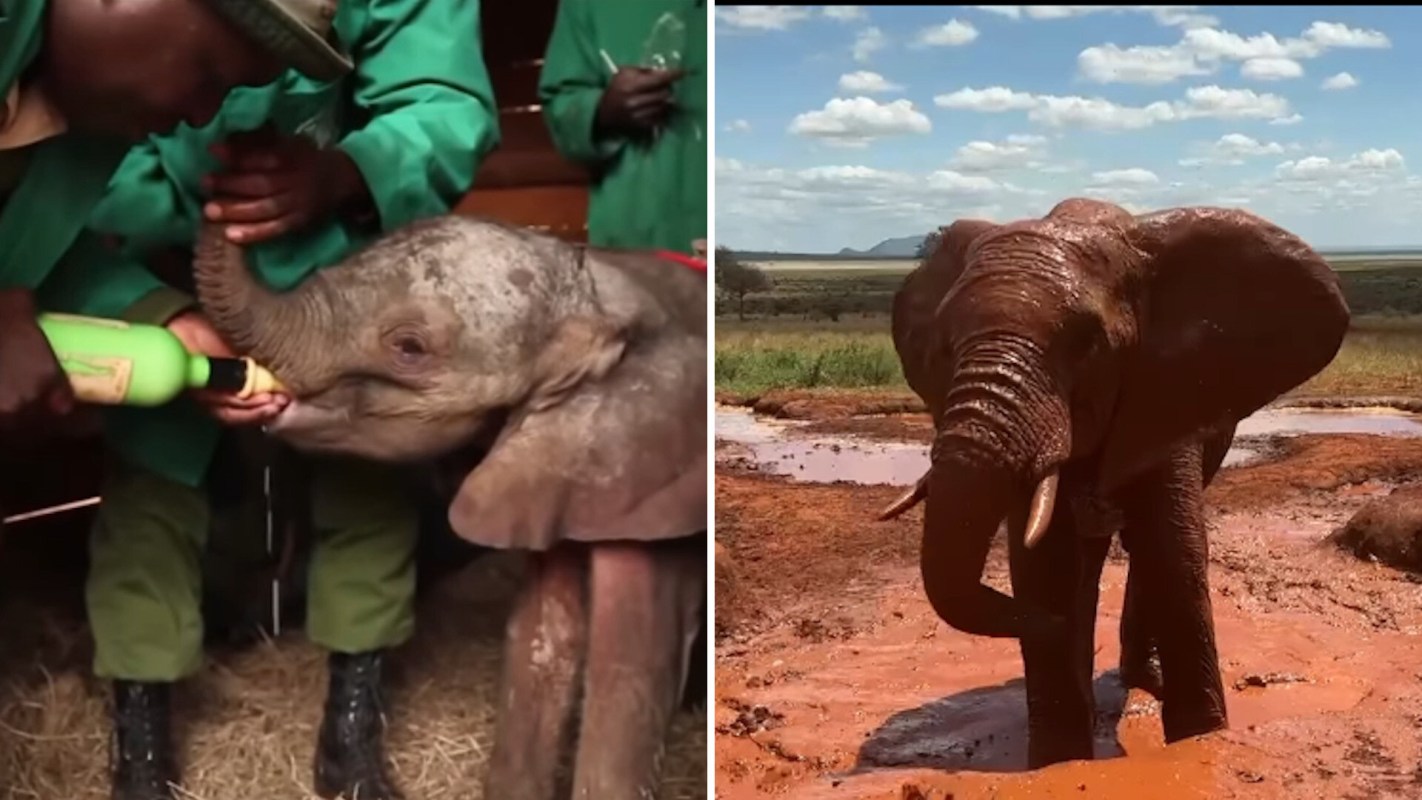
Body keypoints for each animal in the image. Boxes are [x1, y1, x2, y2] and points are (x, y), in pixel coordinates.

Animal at [189, 214, 708, 799]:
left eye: (410, 348)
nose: (226, 213)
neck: (602, 288)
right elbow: (540, 638)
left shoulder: (645, 460)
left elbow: (631, 663)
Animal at [878, 197, 1349, 768]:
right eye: (944, 349)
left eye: (1086, 345)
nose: (1055, 628)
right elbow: (1048, 565)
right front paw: (1059, 760)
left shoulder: (1166, 393)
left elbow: (1174, 551)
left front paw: (1200, 740)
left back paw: (1141, 679)